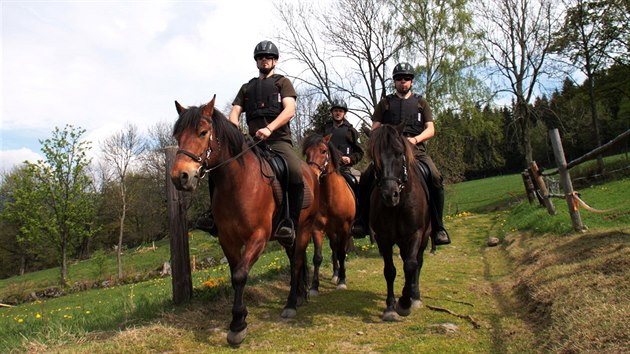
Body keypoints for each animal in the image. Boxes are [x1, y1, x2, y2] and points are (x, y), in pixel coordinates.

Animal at [170, 96, 320, 346]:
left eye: (202, 132)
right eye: (177, 136)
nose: (180, 177)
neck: (237, 183)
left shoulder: (258, 237)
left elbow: (241, 274)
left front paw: (237, 325)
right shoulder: (227, 240)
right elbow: (234, 275)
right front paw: (239, 318)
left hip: (304, 228)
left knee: (297, 261)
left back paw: (290, 303)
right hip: (287, 237)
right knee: (294, 260)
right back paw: (298, 296)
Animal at [302, 134, 356, 294]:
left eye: (323, 151)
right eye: (307, 152)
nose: (313, 174)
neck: (330, 197)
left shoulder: (345, 229)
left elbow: (342, 254)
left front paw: (342, 281)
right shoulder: (317, 229)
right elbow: (318, 257)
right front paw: (314, 286)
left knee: (340, 249)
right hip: (331, 231)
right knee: (334, 247)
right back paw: (335, 274)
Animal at [370, 124, 434, 320]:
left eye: (399, 153)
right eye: (374, 158)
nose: (390, 195)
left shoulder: (415, 233)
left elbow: (411, 265)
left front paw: (405, 302)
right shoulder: (383, 238)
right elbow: (390, 271)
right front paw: (391, 307)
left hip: (424, 237)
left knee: (417, 262)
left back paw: (415, 296)